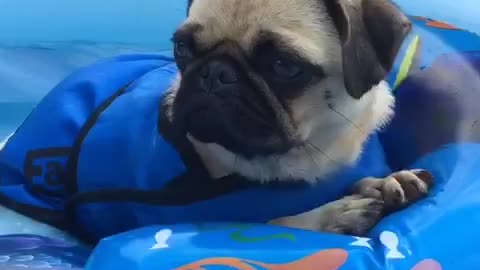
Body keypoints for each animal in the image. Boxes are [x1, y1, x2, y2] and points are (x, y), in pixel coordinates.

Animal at [159, 0, 434, 235]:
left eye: (284, 66)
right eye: (181, 47)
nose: (215, 72)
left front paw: (385, 182)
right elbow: (277, 222)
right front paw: (332, 215)